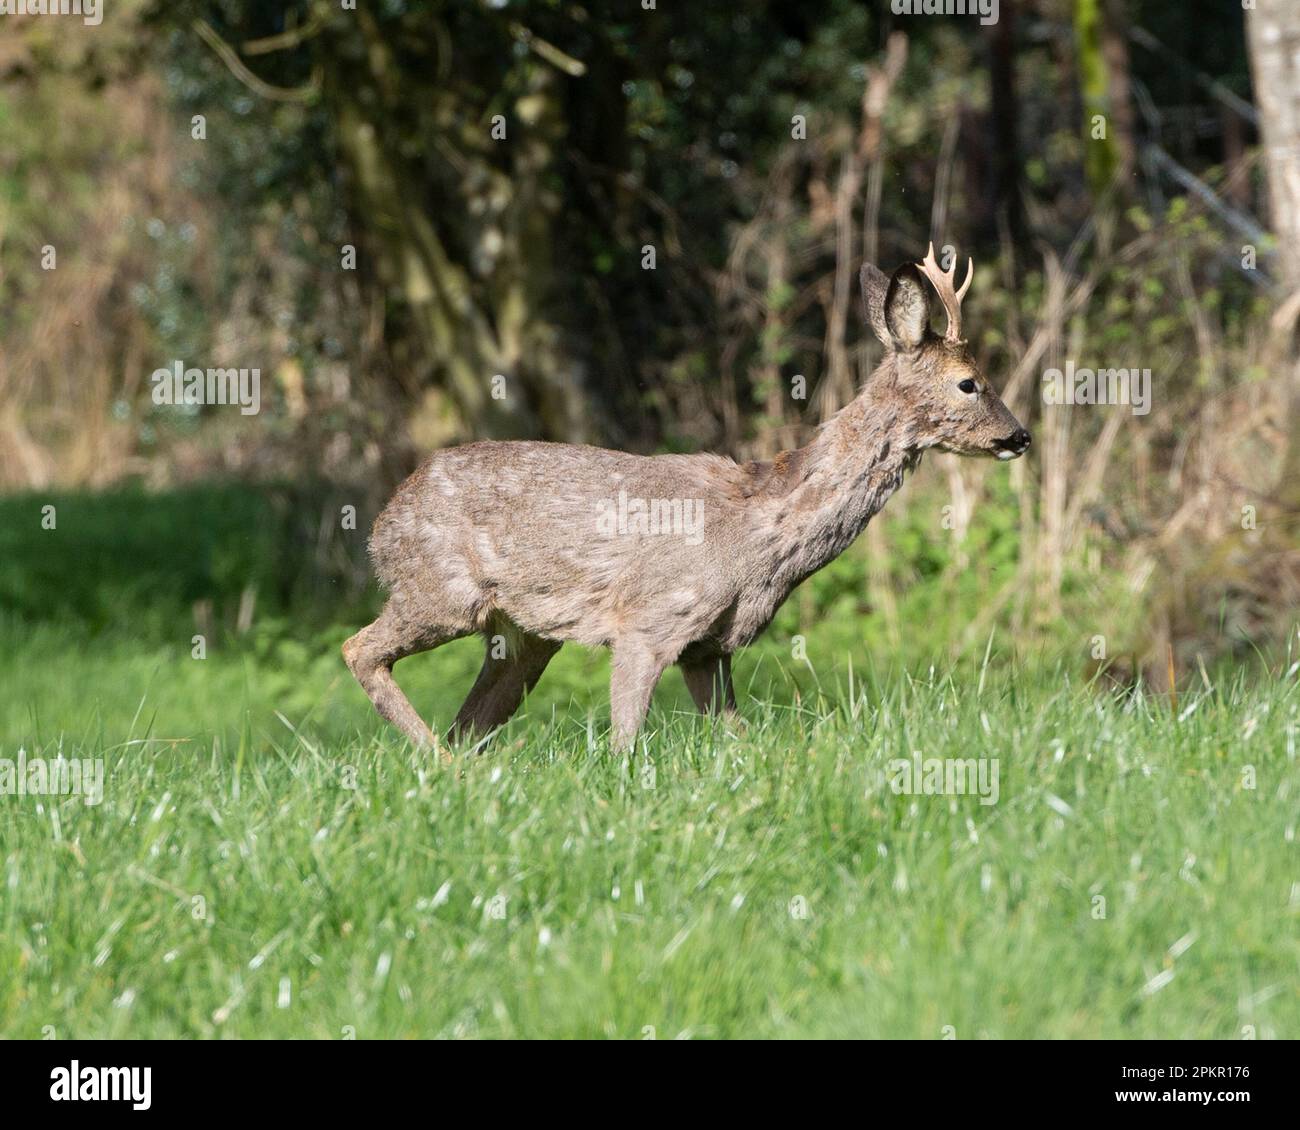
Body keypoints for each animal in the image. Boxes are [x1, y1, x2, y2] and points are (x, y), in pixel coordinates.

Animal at [343, 247, 1024, 759]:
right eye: (969, 383)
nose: (1019, 436)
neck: (761, 538)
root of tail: (381, 521)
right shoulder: (648, 621)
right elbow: (623, 745)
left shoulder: (709, 649)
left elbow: (739, 737)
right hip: (441, 588)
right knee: (360, 650)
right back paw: (439, 762)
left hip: (522, 635)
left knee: (470, 719)